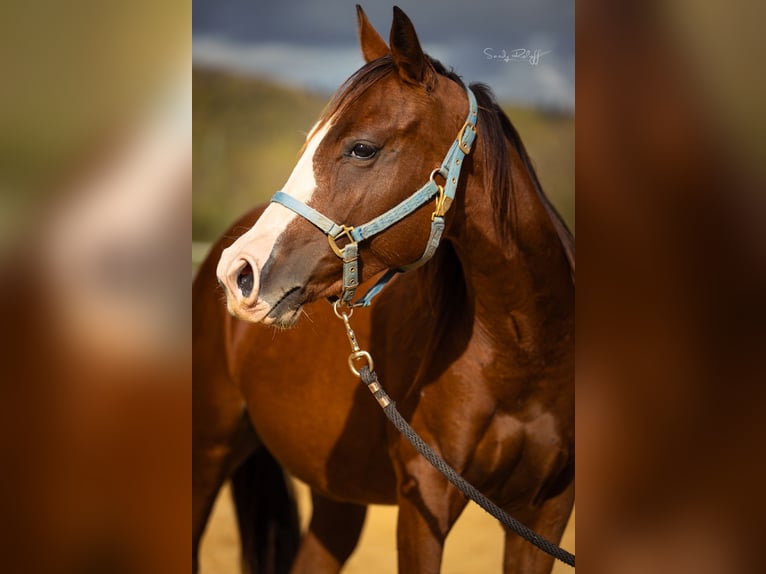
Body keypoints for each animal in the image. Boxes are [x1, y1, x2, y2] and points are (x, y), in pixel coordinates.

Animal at [193, 6, 574, 573]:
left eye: (362, 148)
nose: (239, 271)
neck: (527, 352)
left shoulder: (543, 512)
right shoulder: (424, 497)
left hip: (336, 499)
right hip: (207, 455)